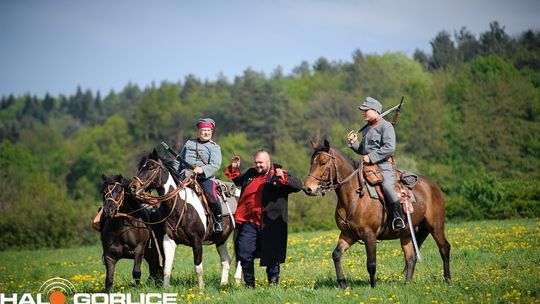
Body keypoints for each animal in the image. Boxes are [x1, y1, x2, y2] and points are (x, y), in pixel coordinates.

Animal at [127, 151, 239, 288]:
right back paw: (223, 285)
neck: (181, 207)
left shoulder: (197, 242)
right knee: (226, 260)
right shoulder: (168, 240)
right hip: (221, 239)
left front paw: (201, 289)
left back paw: (238, 281)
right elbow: (167, 269)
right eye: (140, 167)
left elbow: (198, 268)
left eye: (151, 167)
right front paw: (165, 289)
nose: (132, 187)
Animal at [302, 140, 450, 288]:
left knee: (444, 248)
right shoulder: (348, 235)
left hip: (435, 227)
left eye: (323, 162)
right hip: (406, 233)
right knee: (410, 257)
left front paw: (373, 286)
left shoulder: (370, 236)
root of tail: (433, 186)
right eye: (311, 162)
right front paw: (343, 284)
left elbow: (371, 264)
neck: (354, 197)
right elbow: (336, 255)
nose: (307, 188)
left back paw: (447, 279)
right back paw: (407, 282)